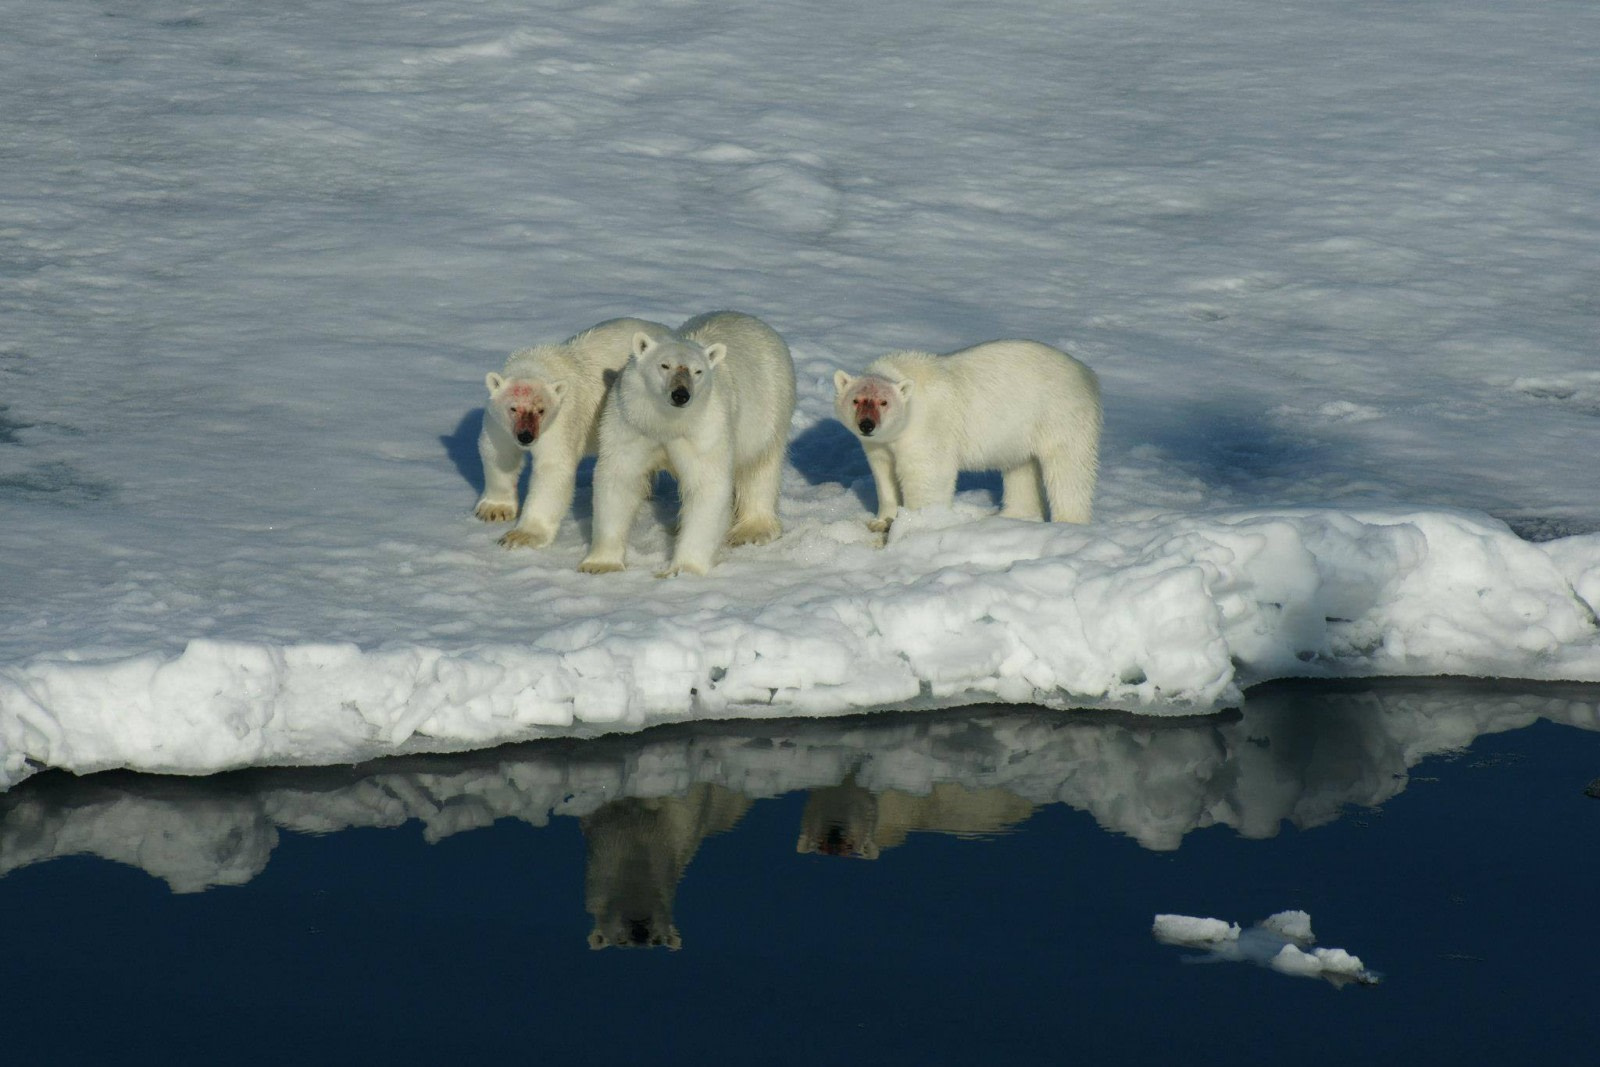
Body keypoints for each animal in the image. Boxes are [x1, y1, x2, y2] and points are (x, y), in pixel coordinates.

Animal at [476, 315, 672, 550]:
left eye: (541, 410)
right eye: (513, 408)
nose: (526, 436)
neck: (540, 361)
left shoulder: (562, 418)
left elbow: (553, 467)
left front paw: (521, 536)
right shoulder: (498, 420)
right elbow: (499, 453)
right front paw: (494, 510)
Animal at [579, 310, 796, 575]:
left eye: (697, 371)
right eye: (664, 365)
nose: (680, 394)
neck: (667, 424)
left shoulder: (705, 430)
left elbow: (707, 485)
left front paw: (682, 569)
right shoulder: (631, 423)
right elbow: (619, 479)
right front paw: (600, 565)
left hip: (769, 408)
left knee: (759, 468)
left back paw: (752, 529)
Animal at [825, 342, 1100, 534]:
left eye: (883, 402)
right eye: (856, 400)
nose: (867, 424)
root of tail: (1086, 372)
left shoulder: (927, 428)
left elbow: (926, 475)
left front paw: (916, 524)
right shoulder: (878, 444)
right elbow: (883, 473)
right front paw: (881, 521)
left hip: (1060, 414)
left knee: (1068, 471)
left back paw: (1068, 522)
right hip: (1022, 428)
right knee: (1021, 468)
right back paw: (1014, 516)